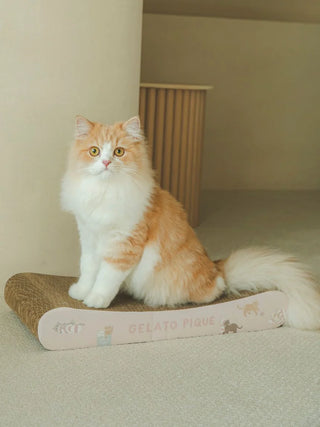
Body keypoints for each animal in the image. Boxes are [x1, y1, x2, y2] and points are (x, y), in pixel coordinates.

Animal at [61, 114, 320, 332]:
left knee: (216, 289)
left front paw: (96, 300)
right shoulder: (89, 237)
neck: (104, 193)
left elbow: (106, 278)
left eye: (118, 151)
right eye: (94, 151)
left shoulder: (124, 244)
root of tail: (217, 267)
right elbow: (88, 269)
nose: (105, 162)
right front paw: (81, 291)